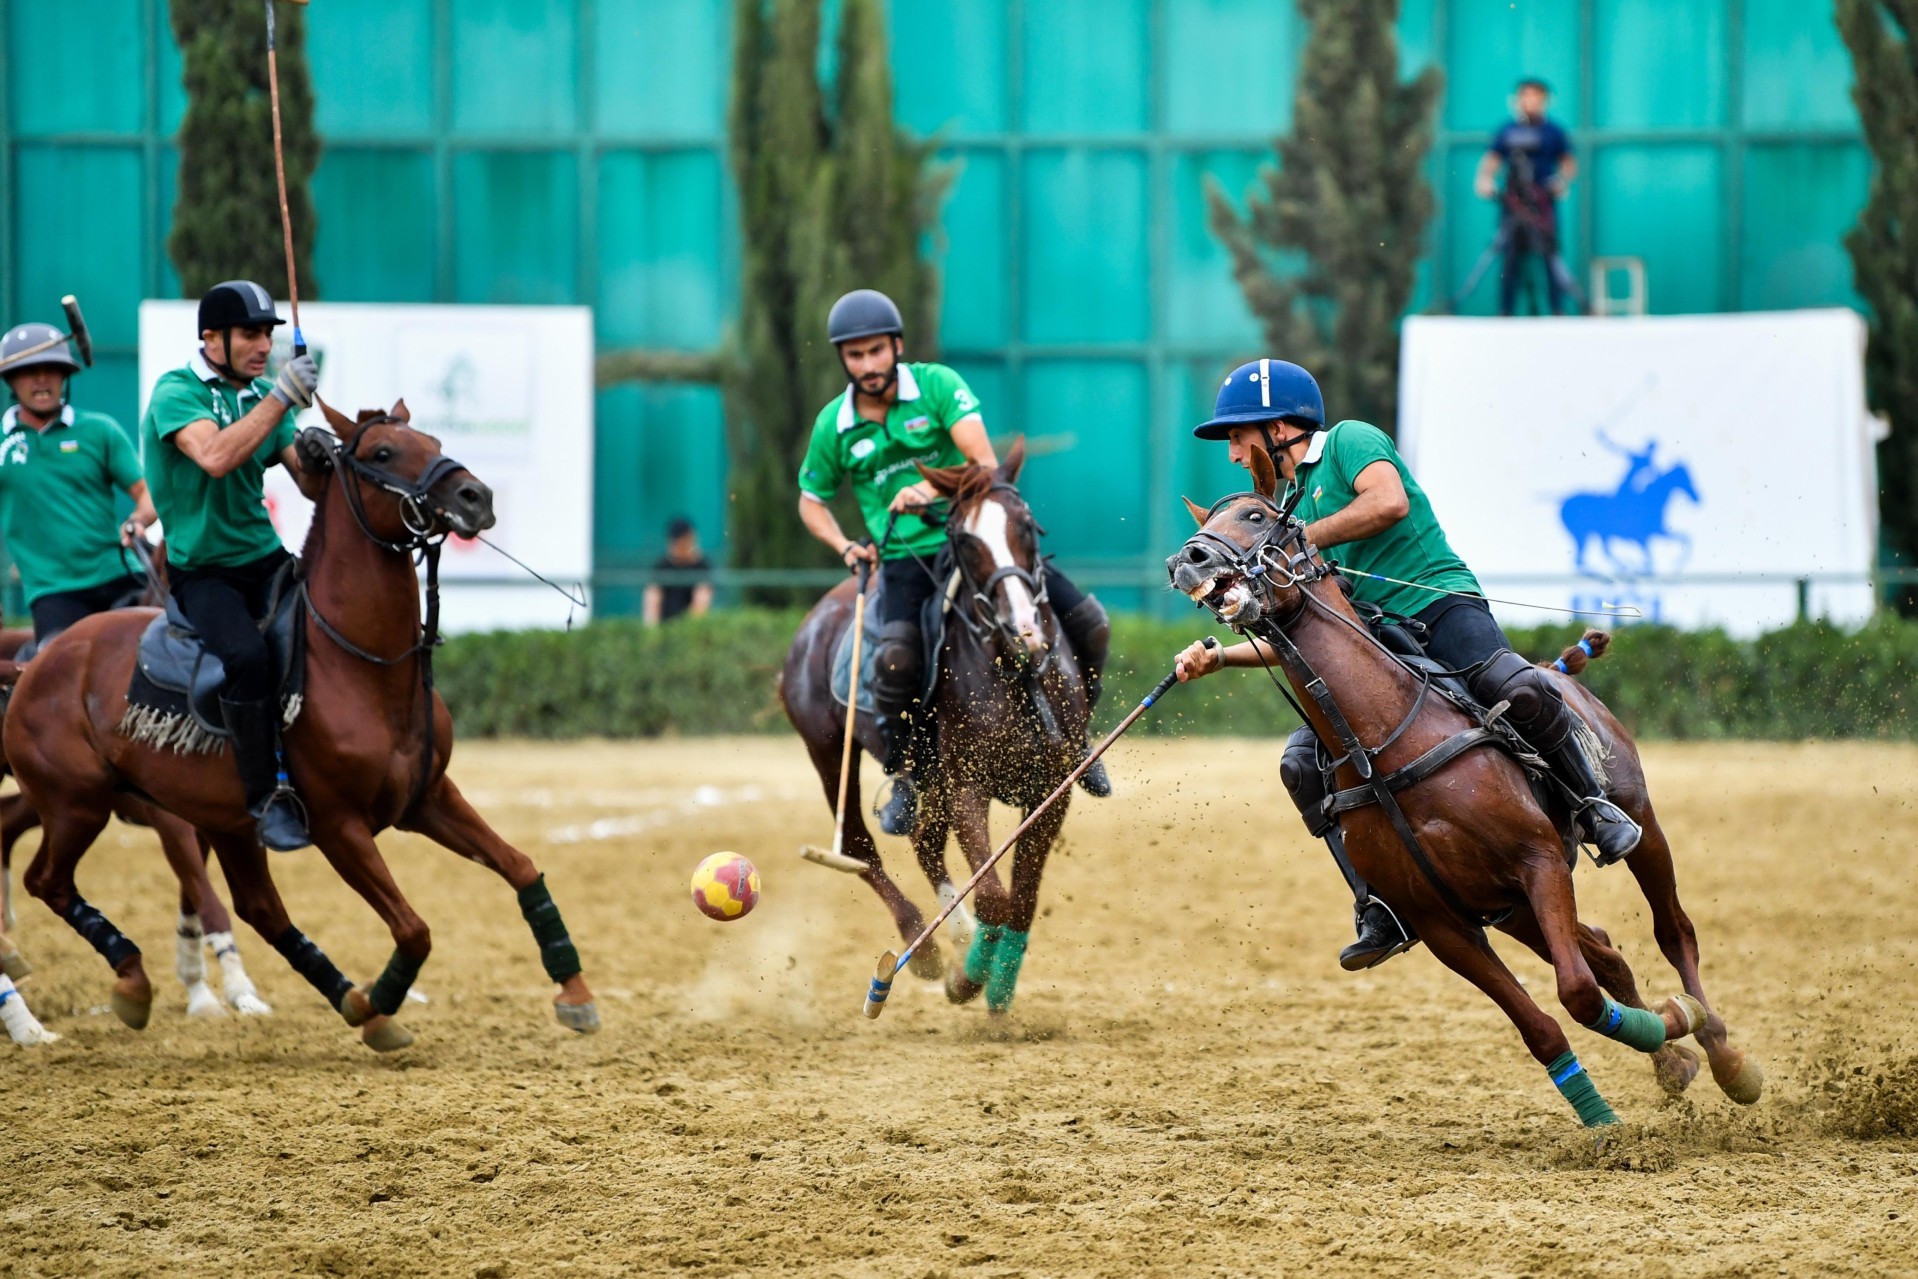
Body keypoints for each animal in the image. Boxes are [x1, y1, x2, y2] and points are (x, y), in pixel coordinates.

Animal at [3, 400, 594, 1050]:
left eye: (434, 441)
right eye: (382, 452)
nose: (476, 496)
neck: (365, 664)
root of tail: (36, 664)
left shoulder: (428, 798)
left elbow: (518, 866)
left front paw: (574, 991)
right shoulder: (338, 826)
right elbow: (414, 929)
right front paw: (384, 997)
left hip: (221, 821)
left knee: (259, 909)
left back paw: (339, 995)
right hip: (76, 803)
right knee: (48, 881)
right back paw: (131, 980)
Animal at [774, 444, 1081, 1012]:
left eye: (1027, 525)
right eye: (964, 540)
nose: (1026, 631)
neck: (1013, 669)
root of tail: (819, 612)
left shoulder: (1054, 786)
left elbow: (1022, 899)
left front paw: (998, 987)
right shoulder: (967, 785)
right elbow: (994, 896)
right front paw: (968, 980)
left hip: (926, 775)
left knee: (924, 841)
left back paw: (955, 932)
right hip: (828, 749)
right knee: (859, 844)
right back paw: (925, 945)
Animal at [1158, 444, 1756, 1127]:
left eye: (1256, 516)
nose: (1187, 559)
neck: (1384, 743)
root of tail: (1556, 670)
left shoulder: (1538, 861)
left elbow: (1577, 992)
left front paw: (1673, 1030)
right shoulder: (1444, 922)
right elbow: (1543, 1025)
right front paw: (1608, 1112)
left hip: (1634, 819)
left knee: (1671, 928)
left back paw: (1723, 1053)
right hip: (1506, 906)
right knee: (1605, 950)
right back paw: (1674, 1059)